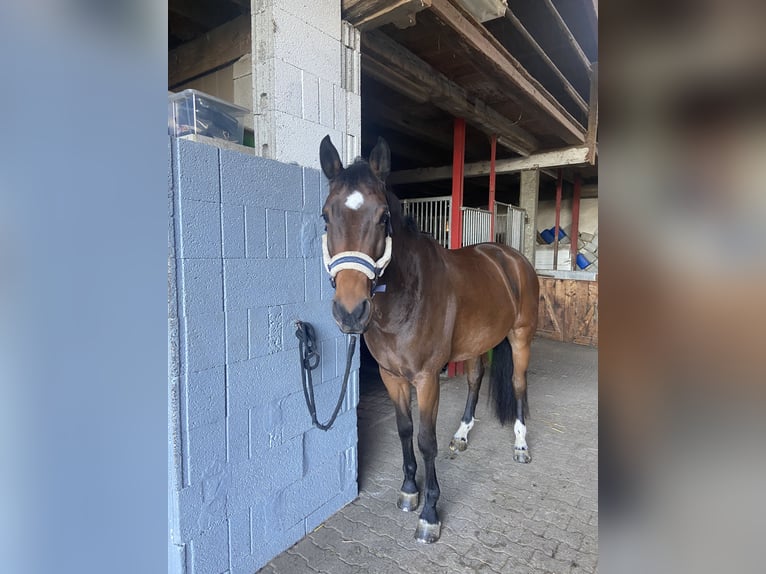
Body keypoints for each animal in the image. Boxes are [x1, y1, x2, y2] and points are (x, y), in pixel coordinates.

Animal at [318, 135, 540, 544]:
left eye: (383, 217)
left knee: (519, 384)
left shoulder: (426, 378)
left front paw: (430, 513)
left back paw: (520, 444)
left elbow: (425, 440)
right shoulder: (391, 376)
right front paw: (409, 489)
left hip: (520, 338)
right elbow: (404, 430)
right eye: (327, 216)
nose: (350, 312)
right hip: (477, 343)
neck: (407, 296)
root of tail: (508, 256)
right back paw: (462, 435)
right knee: (475, 380)